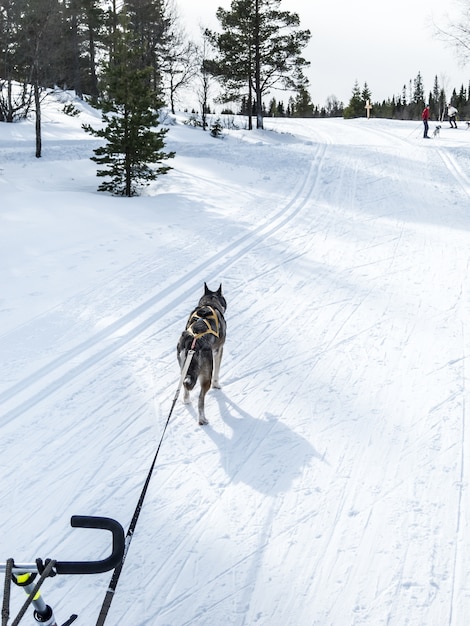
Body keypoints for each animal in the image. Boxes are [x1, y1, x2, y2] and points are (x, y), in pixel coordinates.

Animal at [177, 282, 227, 424]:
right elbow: (217, 372)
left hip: (185, 369)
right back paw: (202, 419)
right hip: (205, 375)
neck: (210, 303)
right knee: (200, 399)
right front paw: (217, 385)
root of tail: (192, 342)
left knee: (185, 385)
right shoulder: (219, 350)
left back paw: (186, 400)